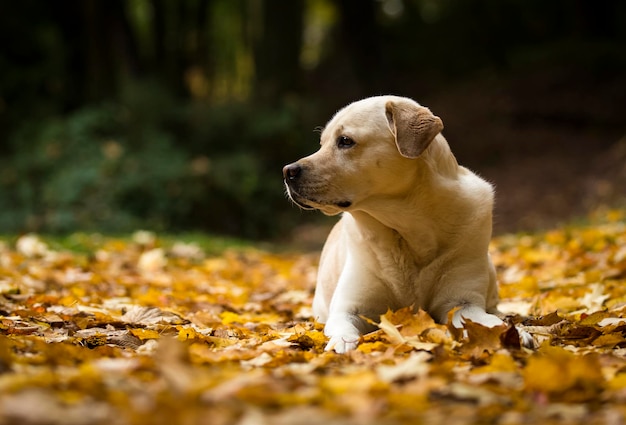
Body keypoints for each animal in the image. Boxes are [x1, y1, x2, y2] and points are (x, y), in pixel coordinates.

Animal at [282, 96, 508, 352]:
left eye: (345, 141)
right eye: (322, 144)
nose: (287, 171)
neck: (409, 229)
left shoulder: (463, 302)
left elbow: (486, 322)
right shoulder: (348, 308)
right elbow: (343, 328)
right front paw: (341, 344)